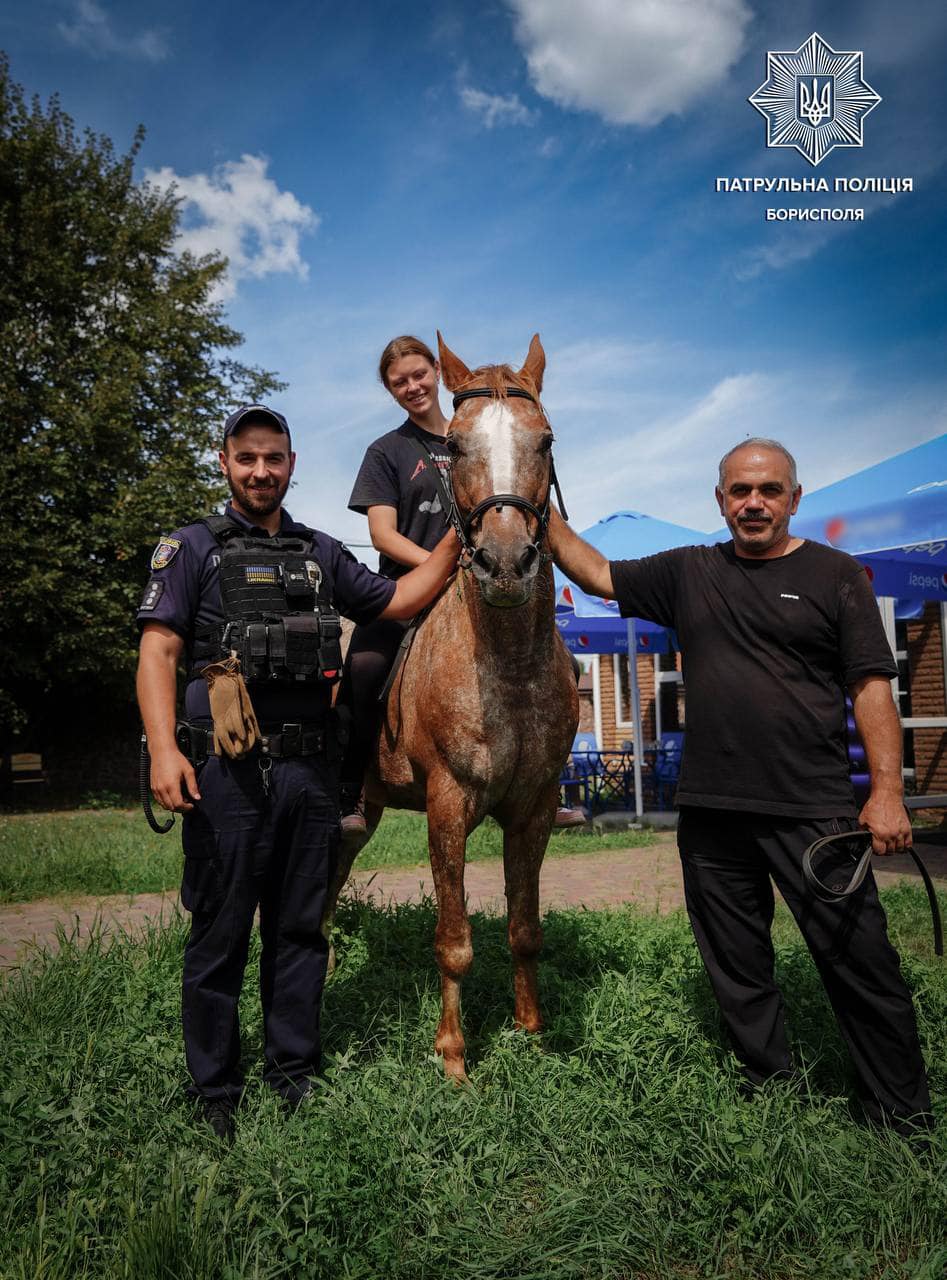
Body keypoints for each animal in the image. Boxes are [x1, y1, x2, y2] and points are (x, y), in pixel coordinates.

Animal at [325, 332, 575, 1080]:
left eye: (545, 439)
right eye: (456, 446)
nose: (505, 563)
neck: (507, 665)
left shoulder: (535, 806)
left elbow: (524, 930)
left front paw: (530, 1033)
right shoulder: (447, 805)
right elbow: (455, 940)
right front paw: (455, 1059)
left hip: (363, 812)